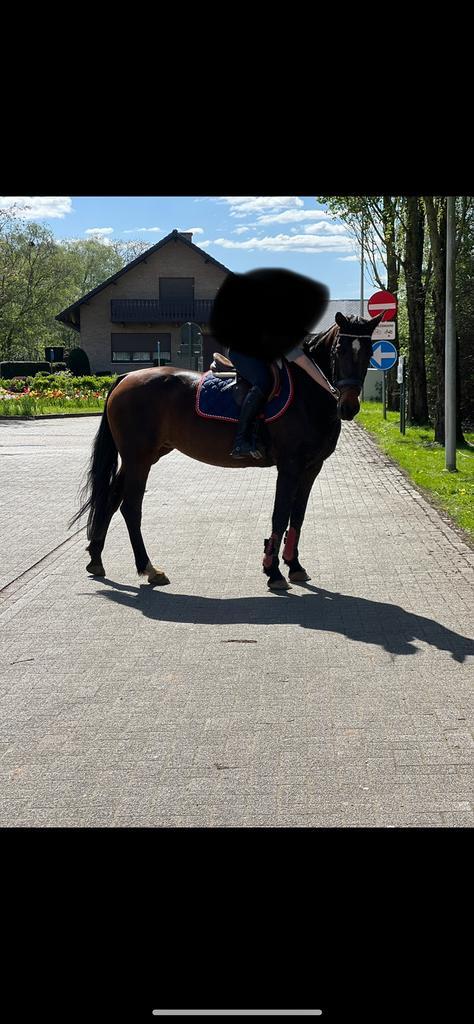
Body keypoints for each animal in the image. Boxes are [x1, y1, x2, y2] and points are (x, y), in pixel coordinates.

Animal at [71, 311, 384, 591]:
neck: (308, 394)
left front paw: (294, 566)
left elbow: (297, 516)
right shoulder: (290, 466)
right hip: (139, 459)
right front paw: (273, 571)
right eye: (340, 350)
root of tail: (126, 377)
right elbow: (280, 514)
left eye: (369, 352)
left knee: (111, 499)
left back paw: (96, 559)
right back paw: (148, 568)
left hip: (142, 457)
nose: (349, 406)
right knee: (130, 507)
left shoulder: (311, 469)